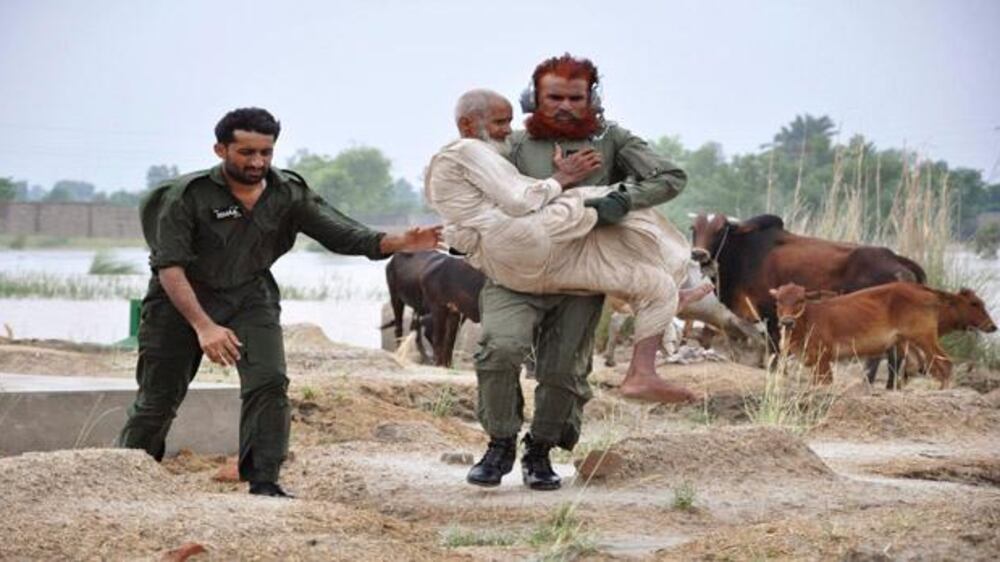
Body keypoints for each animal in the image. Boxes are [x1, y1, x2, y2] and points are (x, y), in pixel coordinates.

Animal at [764, 280, 992, 384]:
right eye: (778, 301)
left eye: (800, 300)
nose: (787, 321)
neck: (808, 321)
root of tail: (921, 289)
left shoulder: (823, 358)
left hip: (924, 337)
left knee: (943, 364)